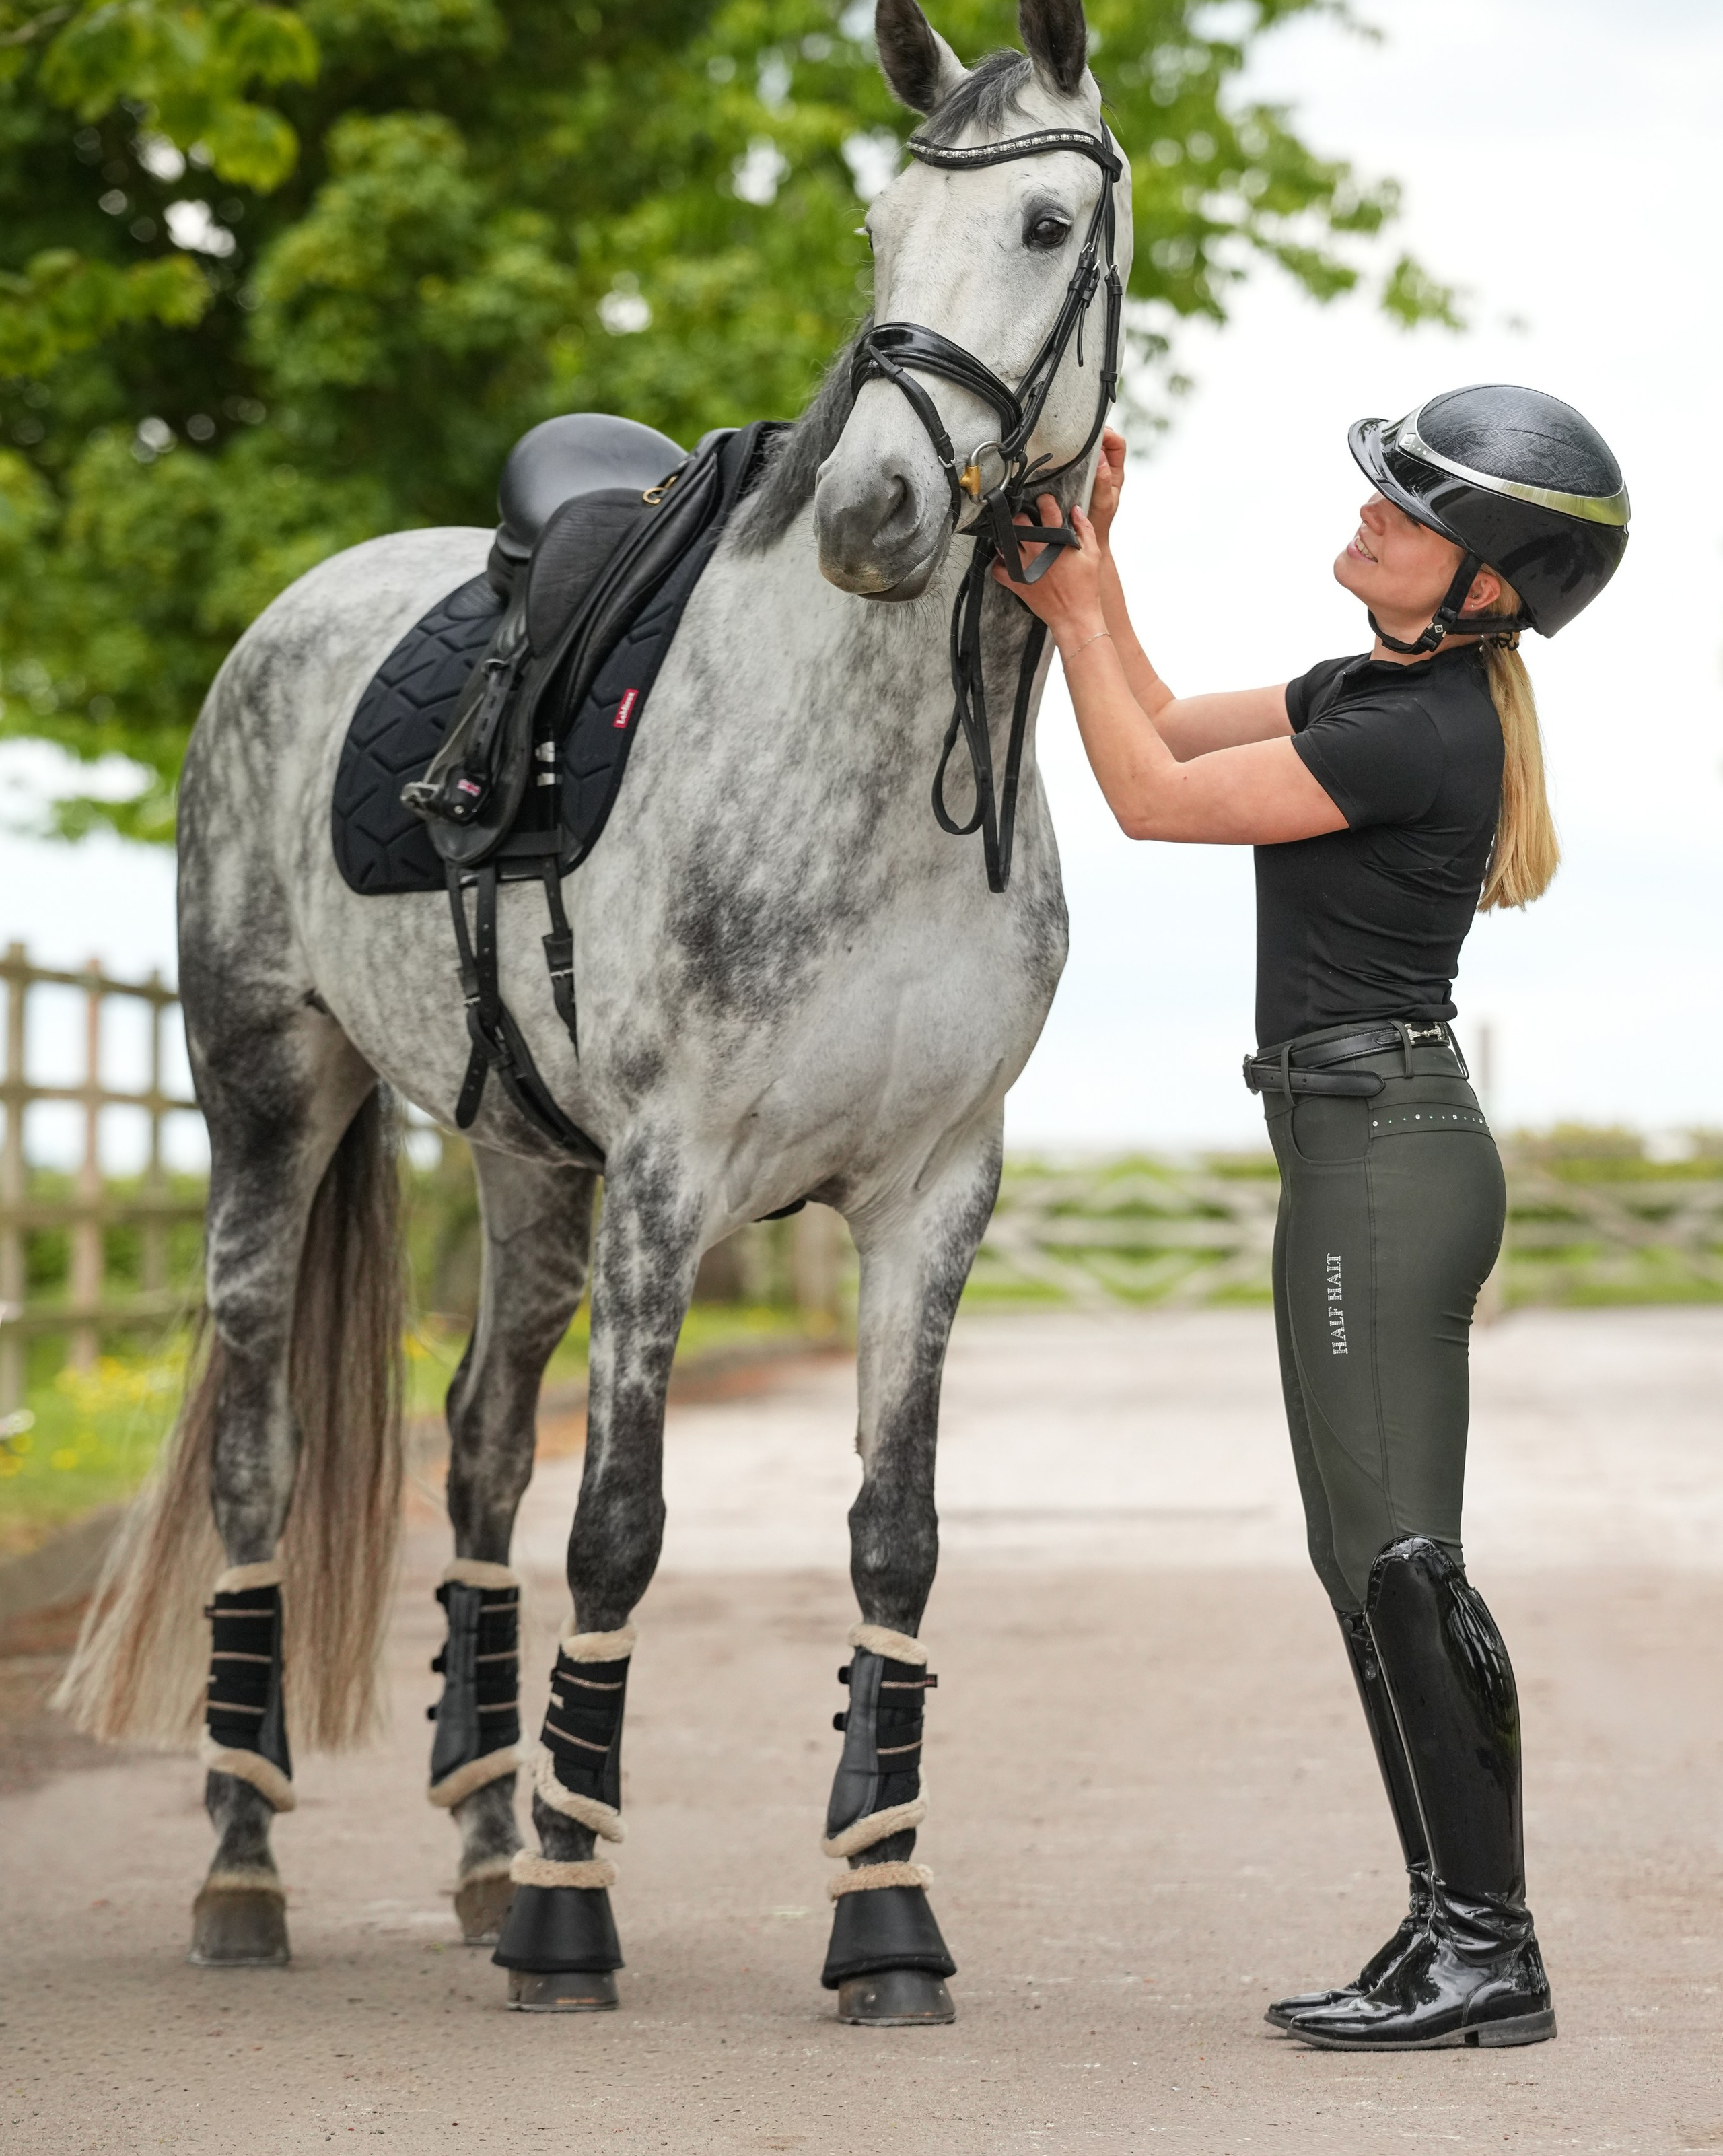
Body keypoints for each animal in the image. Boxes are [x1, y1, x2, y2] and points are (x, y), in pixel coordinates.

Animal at [60, 0, 1134, 2026]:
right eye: (877, 235)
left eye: (1045, 227)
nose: (875, 514)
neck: (867, 765)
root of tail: (303, 608)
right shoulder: (667, 1178)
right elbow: (620, 1528)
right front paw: (575, 1914)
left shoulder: (932, 1196)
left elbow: (894, 1538)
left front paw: (884, 1919)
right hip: (270, 1103)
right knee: (259, 1455)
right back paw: (252, 1870)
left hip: (525, 1165)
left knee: (480, 1437)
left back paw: (488, 1843)